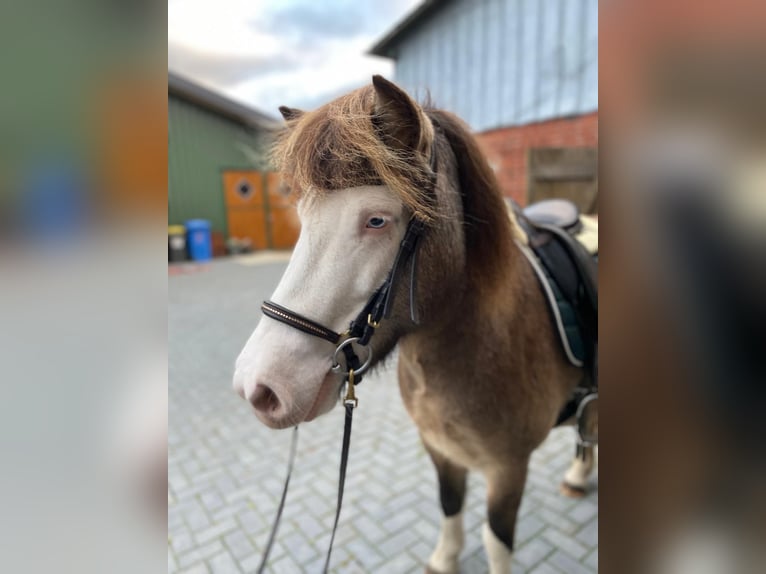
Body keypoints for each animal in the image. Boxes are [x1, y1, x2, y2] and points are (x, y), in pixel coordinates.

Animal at [233, 75, 597, 574]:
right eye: (303, 218)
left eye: (376, 220)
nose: (259, 387)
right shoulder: (439, 449)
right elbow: (449, 504)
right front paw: (445, 558)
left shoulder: (508, 469)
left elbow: (496, 541)